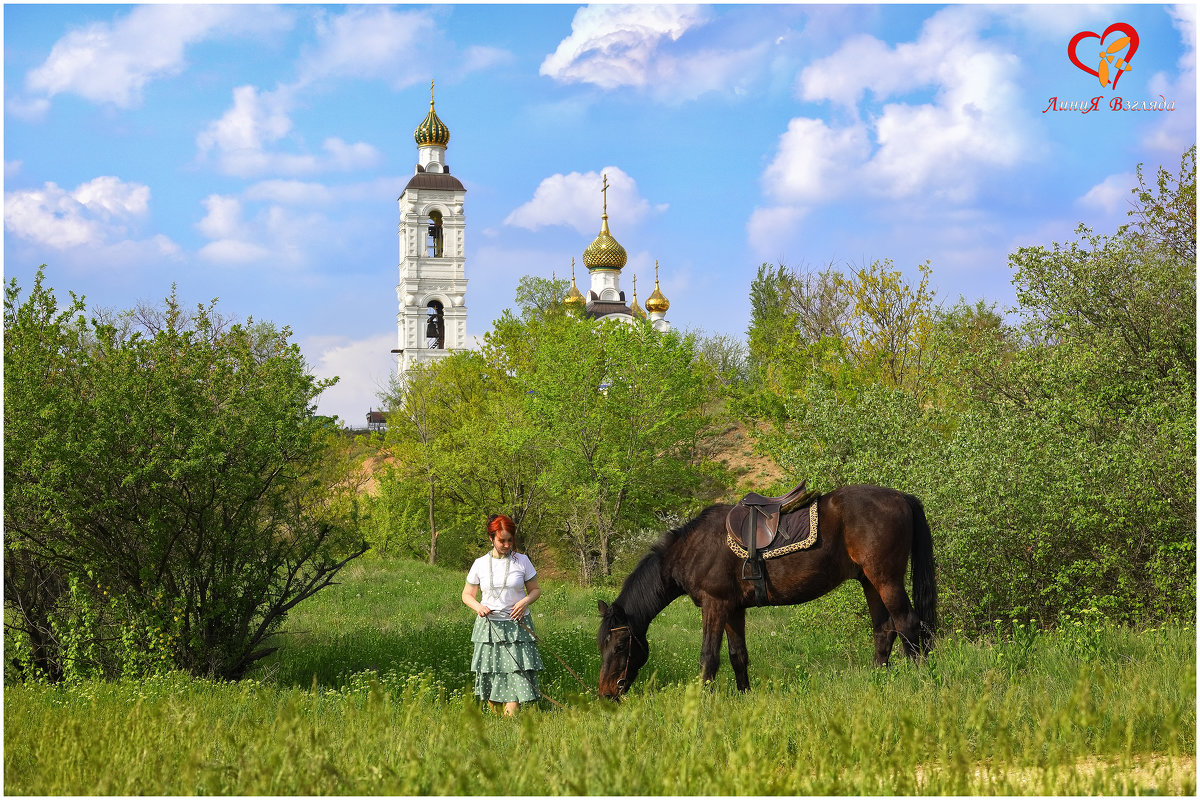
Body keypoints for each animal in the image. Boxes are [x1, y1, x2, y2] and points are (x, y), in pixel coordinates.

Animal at [600, 484, 936, 695]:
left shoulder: (714, 605)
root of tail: (901, 497)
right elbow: (738, 656)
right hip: (869, 581)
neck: (693, 548)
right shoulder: (733, 609)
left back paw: (918, 680)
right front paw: (744, 697)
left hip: (886, 579)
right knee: (884, 630)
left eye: (619, 646)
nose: (606, 693)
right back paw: (879, 681)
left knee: (907, 623)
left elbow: (708, 657)